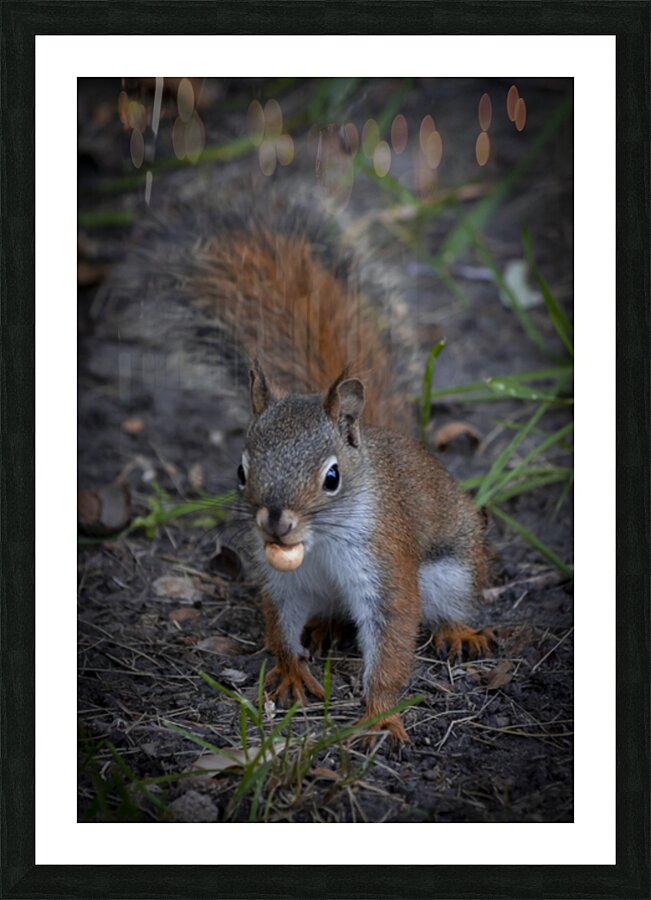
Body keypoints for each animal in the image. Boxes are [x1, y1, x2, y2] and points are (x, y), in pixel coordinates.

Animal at [106, 177, 492, 744]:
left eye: (332, 477)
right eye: (240, 471)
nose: (275, 522)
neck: (318, 544)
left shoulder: (385, 563)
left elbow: (393, 638)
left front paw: (379, 713)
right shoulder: (282, 581)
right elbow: (279, 627)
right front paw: (290, 672)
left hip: (455, 566)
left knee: (451, 604)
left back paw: (460, 631)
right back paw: (324, 628)